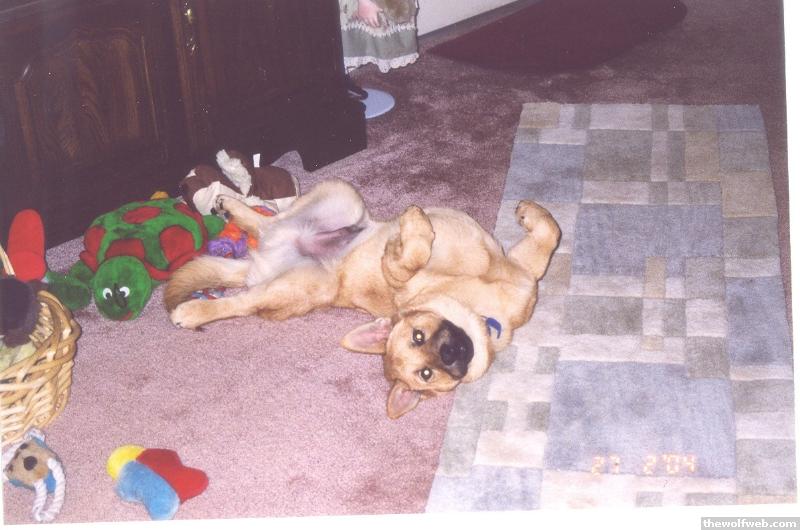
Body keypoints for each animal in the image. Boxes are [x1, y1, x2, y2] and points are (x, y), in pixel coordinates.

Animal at [165, 179, 560, 418]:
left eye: (428, 374)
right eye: (418, 340)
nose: (454, 353)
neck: (478, 312)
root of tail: (259, 264)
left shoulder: (523, 272)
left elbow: (550, 235)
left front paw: (531, 213)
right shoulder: (403, 277)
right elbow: (410, 256)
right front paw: (414, 226)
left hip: (340, 199)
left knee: (269, 223)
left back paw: (234, 208)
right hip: (305, 272)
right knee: (240, 299)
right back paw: (194, 308)